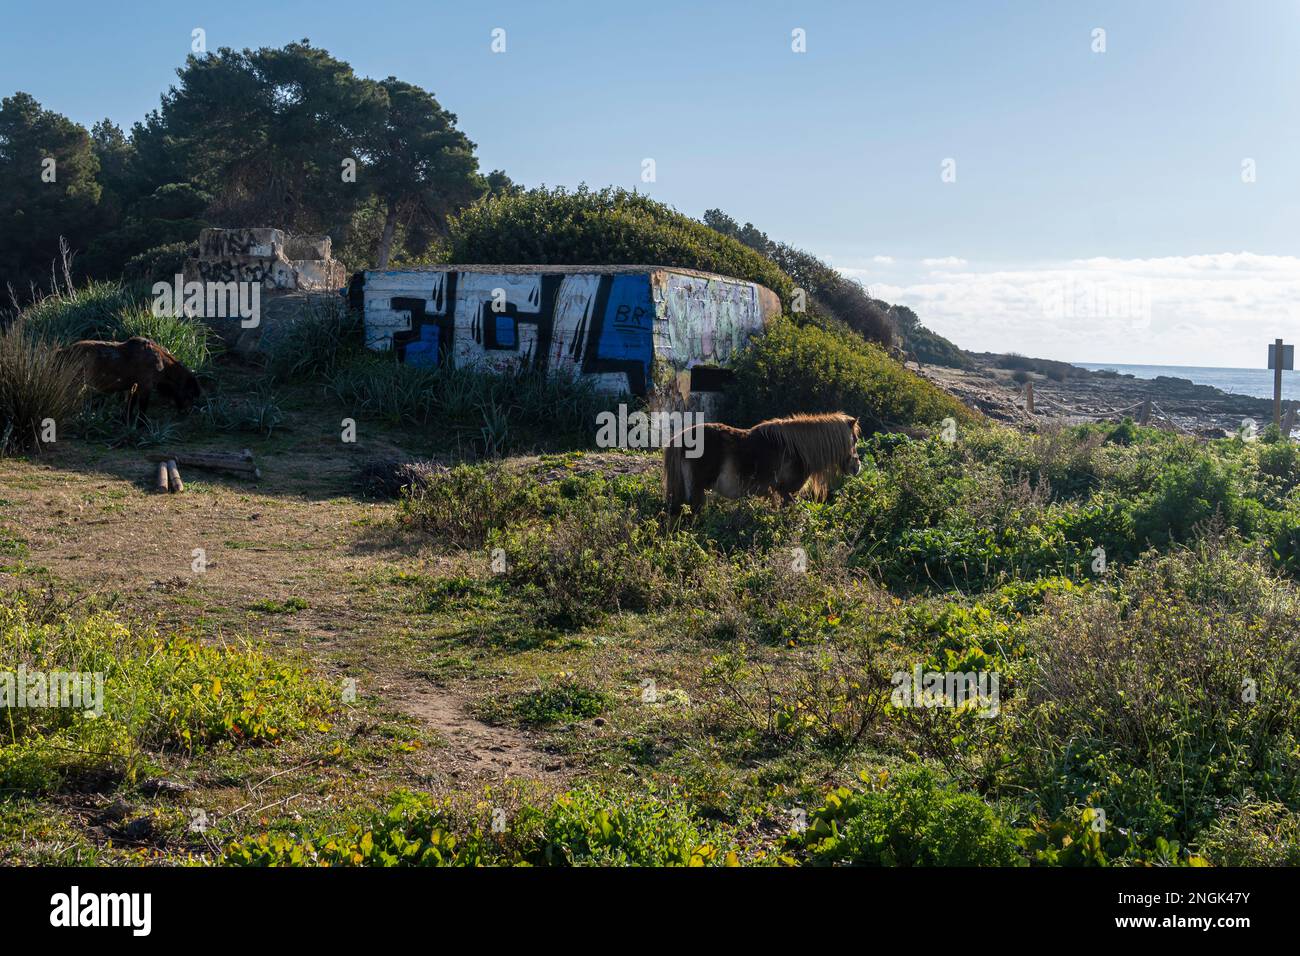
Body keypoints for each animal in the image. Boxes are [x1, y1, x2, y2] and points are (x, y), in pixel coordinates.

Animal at [59, 336, 202, 421]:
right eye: (190, 393)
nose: (188, 411)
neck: (163, 366)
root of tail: (63, 351)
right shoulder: (145, 386)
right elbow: (142, 408)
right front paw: (141, 424)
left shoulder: (133, 387)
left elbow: (129, 406)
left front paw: (125, 420)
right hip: (76, 383)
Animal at [664, 412, 862, 517]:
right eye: (855, 440)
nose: (857, 466)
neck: (799, 450)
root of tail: (679, 439)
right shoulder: (786, 492)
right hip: (697, 491)